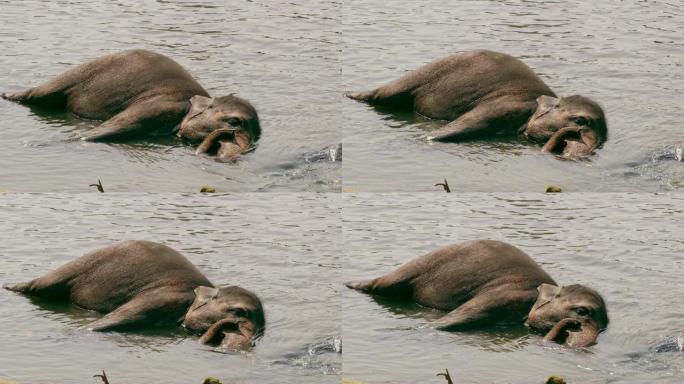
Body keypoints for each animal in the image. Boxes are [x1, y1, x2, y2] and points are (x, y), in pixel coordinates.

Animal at [0, 50, 260, 160]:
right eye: (234, 122)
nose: (226, 138)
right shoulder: (161, 105)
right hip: (81, 72)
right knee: (38, 95)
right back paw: (8, 95)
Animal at [348, 50, 608, 159]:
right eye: (581, 121)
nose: (569, 139)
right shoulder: (508, 104)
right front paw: (426, 138)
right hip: (421, 75)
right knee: (382, 95)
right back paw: (351, 95)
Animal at [348, 240, 608, 348]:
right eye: (582, 312)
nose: (572, 327)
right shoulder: (507, 294)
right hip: (419, 265)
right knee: (383, 285)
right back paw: (351, 285)